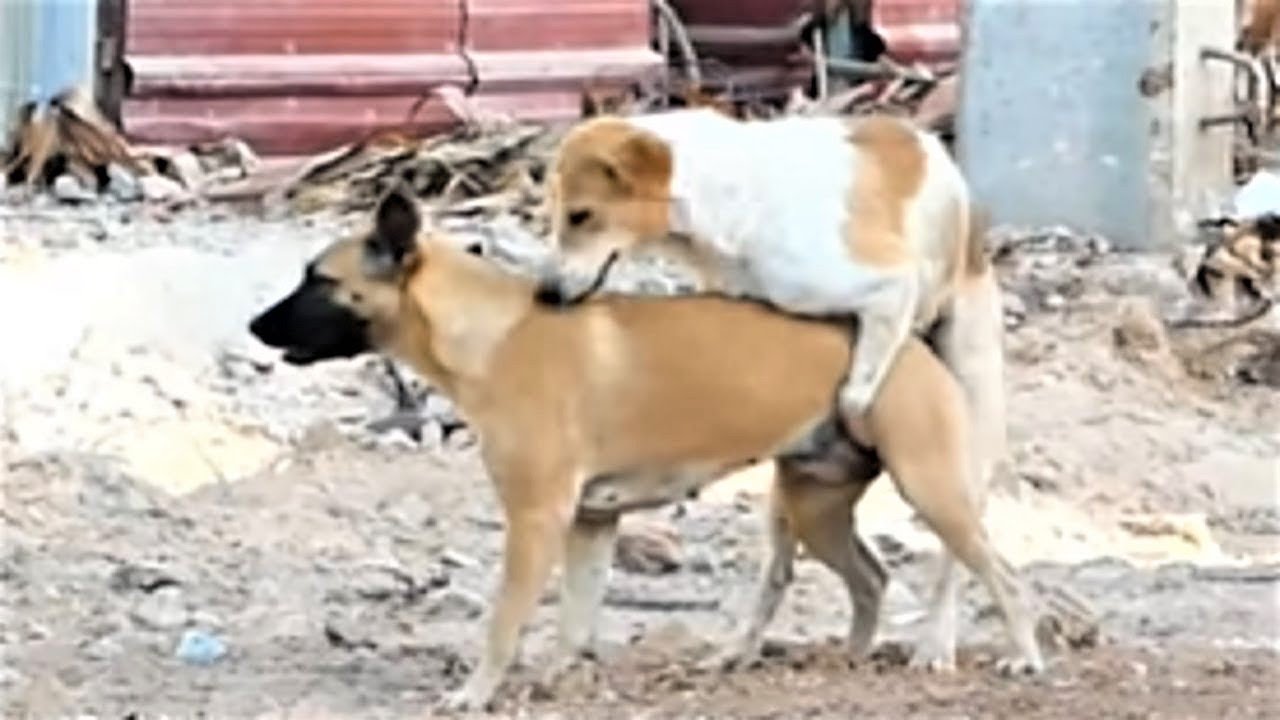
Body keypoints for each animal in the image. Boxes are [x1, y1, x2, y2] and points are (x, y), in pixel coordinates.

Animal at [247, 188, 1039, 707]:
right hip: (815, 508)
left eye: (320, 279)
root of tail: (908, 342)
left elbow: (504, 622)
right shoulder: (591, 524)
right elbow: (574, 619)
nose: (254, 327)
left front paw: (476, 694)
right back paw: (846, 663)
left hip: (932, 492)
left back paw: (1024, 658)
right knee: (871, 579)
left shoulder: (536, 521)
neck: (491, 333)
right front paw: (562, 680)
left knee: (1003, 575)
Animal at [537, 106, 1008, 666]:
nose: (544, 293)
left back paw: (937, 642)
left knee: (960, 552)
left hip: (968, 426)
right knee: (783, 567)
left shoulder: (888, 289)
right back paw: (744, 649)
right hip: (791, 487)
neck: (723, 193)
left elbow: (858, 391)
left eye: (580, 216)